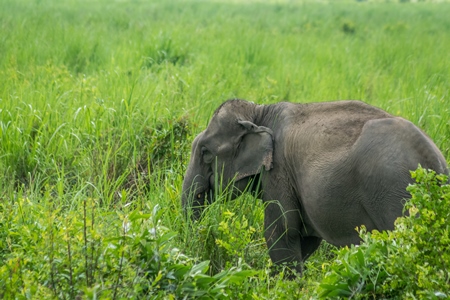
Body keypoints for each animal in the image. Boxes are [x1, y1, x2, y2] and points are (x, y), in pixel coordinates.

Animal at [181, 99, 448, 274]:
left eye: (205, 152)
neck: (258, 112)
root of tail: (434, 162)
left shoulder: (278, 172)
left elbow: (282, 232)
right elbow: (305, 240)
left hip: (396, 195)